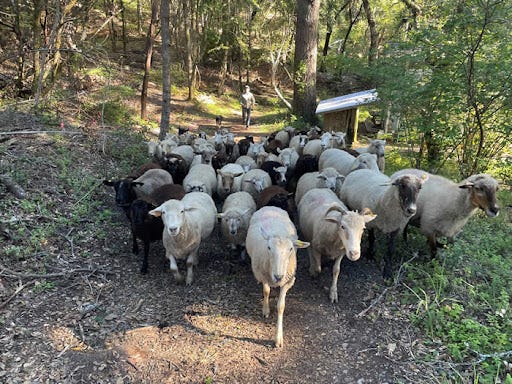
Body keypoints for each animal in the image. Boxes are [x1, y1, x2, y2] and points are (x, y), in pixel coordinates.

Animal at [246, 207, 310, 348]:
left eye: (291, 249)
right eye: (269, 247)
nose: (278, 276)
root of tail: (270, 207)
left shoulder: (288, 281)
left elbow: (281, 306)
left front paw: (278, 339)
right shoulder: (263, 275)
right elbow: (266, 291)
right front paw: (265, 310)